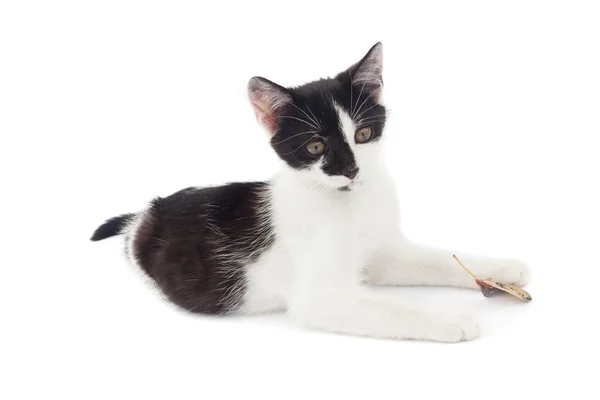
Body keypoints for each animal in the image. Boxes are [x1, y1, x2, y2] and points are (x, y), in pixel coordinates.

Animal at [91, 43, 532, 344]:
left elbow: (435, 258)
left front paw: (502, 269)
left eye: (363, 134)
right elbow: (387, 308)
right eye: (316, 146)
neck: (349, 202)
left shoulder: (382, 256)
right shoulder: (320, 297)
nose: (352, 169)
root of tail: (145, 215)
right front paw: (448, 320)